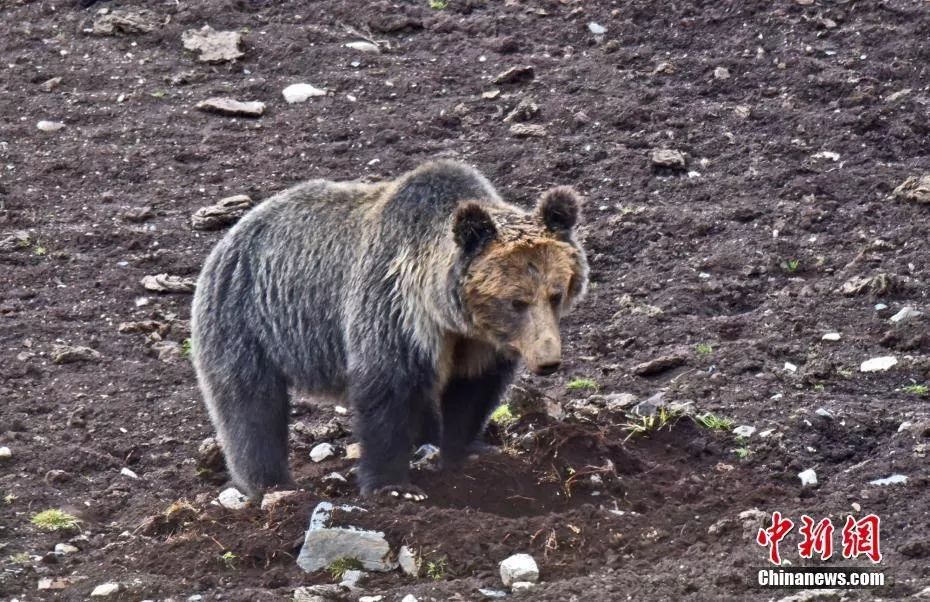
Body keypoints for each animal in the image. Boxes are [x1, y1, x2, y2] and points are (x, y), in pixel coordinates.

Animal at [190, 159, 588, 496]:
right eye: (516, 301)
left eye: (555, 293)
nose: (548, 360)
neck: (447, 315)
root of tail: (232, 234)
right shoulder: (392, 312)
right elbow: (386, 392)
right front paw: (393, 485)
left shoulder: (479, 345)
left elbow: (472, 393)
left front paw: (467, 452)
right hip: (246, 321)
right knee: (250, 405)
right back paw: (269, 482)